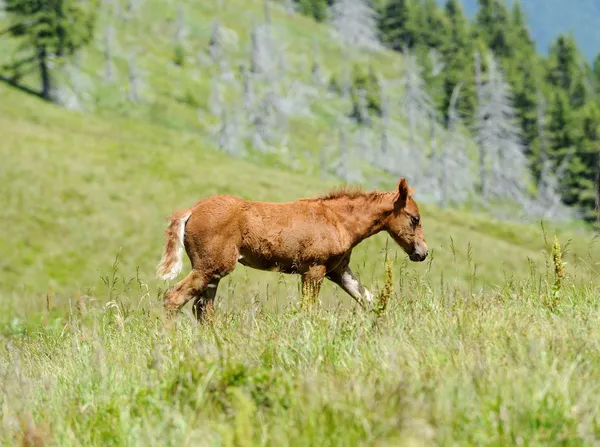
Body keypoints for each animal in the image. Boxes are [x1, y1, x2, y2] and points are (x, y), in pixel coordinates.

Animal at [155, 177, 426, 320]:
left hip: (213, 271)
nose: (422, 253)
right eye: (415, 218)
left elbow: (368, 299)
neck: (339, 221)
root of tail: (191, 211)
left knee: (203, 309)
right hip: (211, 266)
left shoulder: (338, 271)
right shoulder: (314, 269)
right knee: (174, 297)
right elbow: (308, 309)